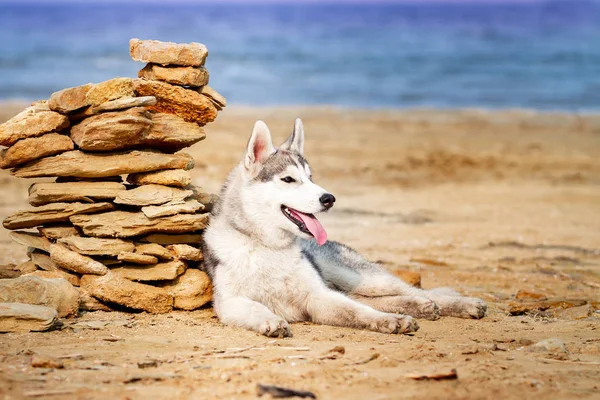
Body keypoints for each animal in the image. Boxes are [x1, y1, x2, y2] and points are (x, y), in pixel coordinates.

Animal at [203, 119, 488, 338]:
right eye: (288, 179)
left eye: (310, 178)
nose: (329, 198)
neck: (267, 246)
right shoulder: (231, 302)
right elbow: (257, 308)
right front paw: (271, 320)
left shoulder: (318, 296)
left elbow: (359, 311)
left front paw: (389, 320)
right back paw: (418, 307)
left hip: (359, 277)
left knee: (411, 291)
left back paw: (459, 304)